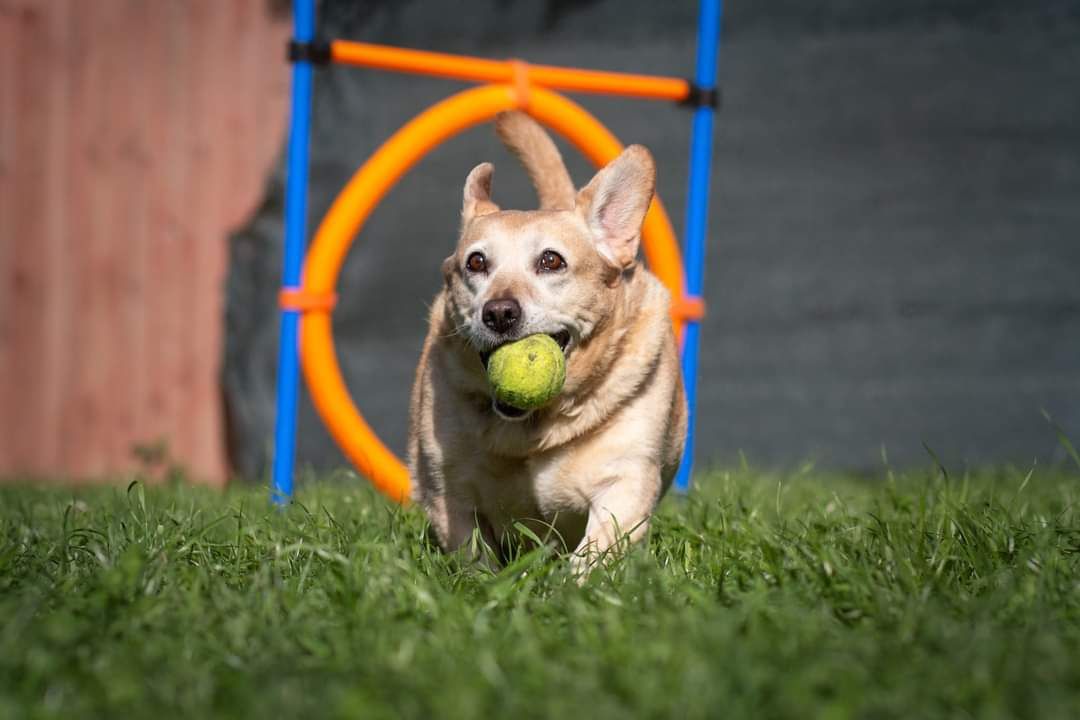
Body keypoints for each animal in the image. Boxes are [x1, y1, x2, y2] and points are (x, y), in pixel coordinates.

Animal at [408, 111, 686, 574]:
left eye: (551, 260)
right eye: (476, 262)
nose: (499, 313)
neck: (534, 427)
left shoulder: (624, 481)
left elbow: (596, 552)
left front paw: (573, 586)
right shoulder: (449, 490)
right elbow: (472, 552)